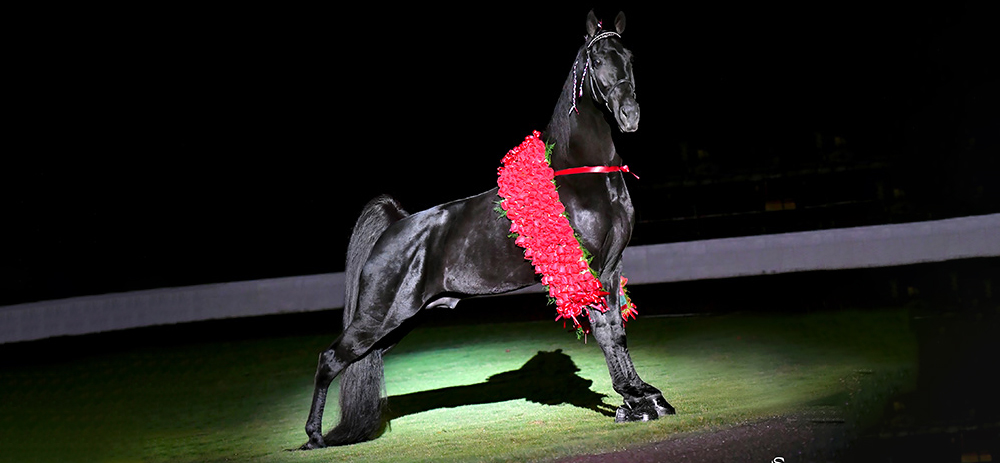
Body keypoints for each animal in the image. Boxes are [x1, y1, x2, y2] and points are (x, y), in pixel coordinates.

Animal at [299, 10, 675, 450]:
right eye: (597, 60)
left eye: (629, 57)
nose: (630, 115)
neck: (585, 175)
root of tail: (393, 228)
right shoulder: (590, 270)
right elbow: (606, 331)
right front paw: (633, 400)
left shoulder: (612, 269)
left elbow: (617, 330)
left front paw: (644, 396)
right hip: (378, 318)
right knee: (330, 359)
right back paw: (314, 437)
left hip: (398, 323)